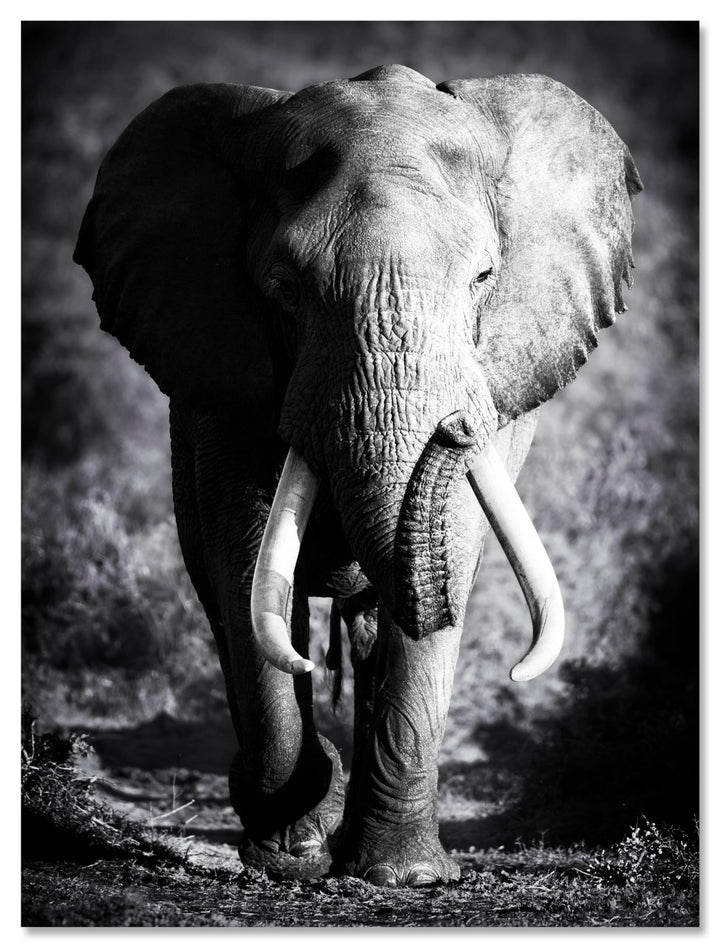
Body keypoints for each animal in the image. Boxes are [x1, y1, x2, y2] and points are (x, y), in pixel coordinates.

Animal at [74, 64, 641, 887]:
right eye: (284, 287)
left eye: (484, 278)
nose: (455, 428)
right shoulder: (221, 374)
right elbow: (245, 559)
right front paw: (289, 858)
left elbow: (451, 549)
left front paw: (403, 876)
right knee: (224, 599)